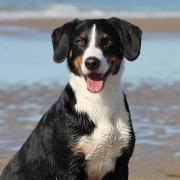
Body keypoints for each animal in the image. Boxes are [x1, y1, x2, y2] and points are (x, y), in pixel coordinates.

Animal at [0, 17, 142, 180]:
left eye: (107, 40)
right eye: (79, 41)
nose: (91, 62)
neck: (99, 102)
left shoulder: (121, 164)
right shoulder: (69, 166)